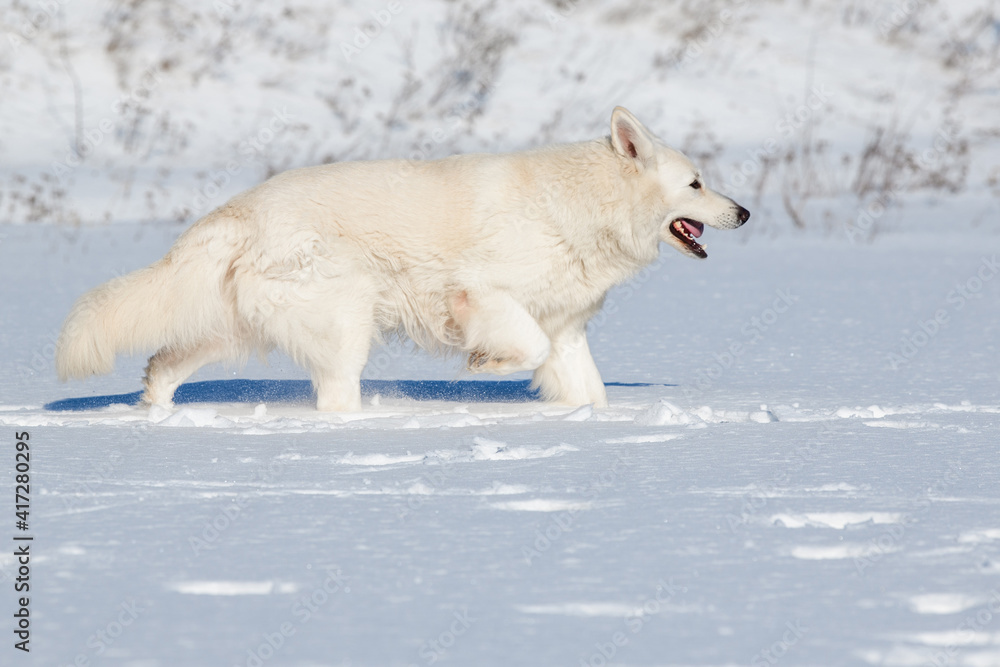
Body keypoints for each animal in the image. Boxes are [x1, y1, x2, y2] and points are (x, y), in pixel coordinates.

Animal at [54, 108, 748, 412]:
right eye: (695, 184)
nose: (743, 212)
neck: (583, 206)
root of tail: (240, 212)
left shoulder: (566, 329)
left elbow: (586, 389)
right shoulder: (485, 294)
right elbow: (524, 347)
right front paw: (486, 364)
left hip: (233, 329)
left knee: (163, 364)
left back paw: (156, 414)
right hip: (344, 324)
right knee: (334, 397)